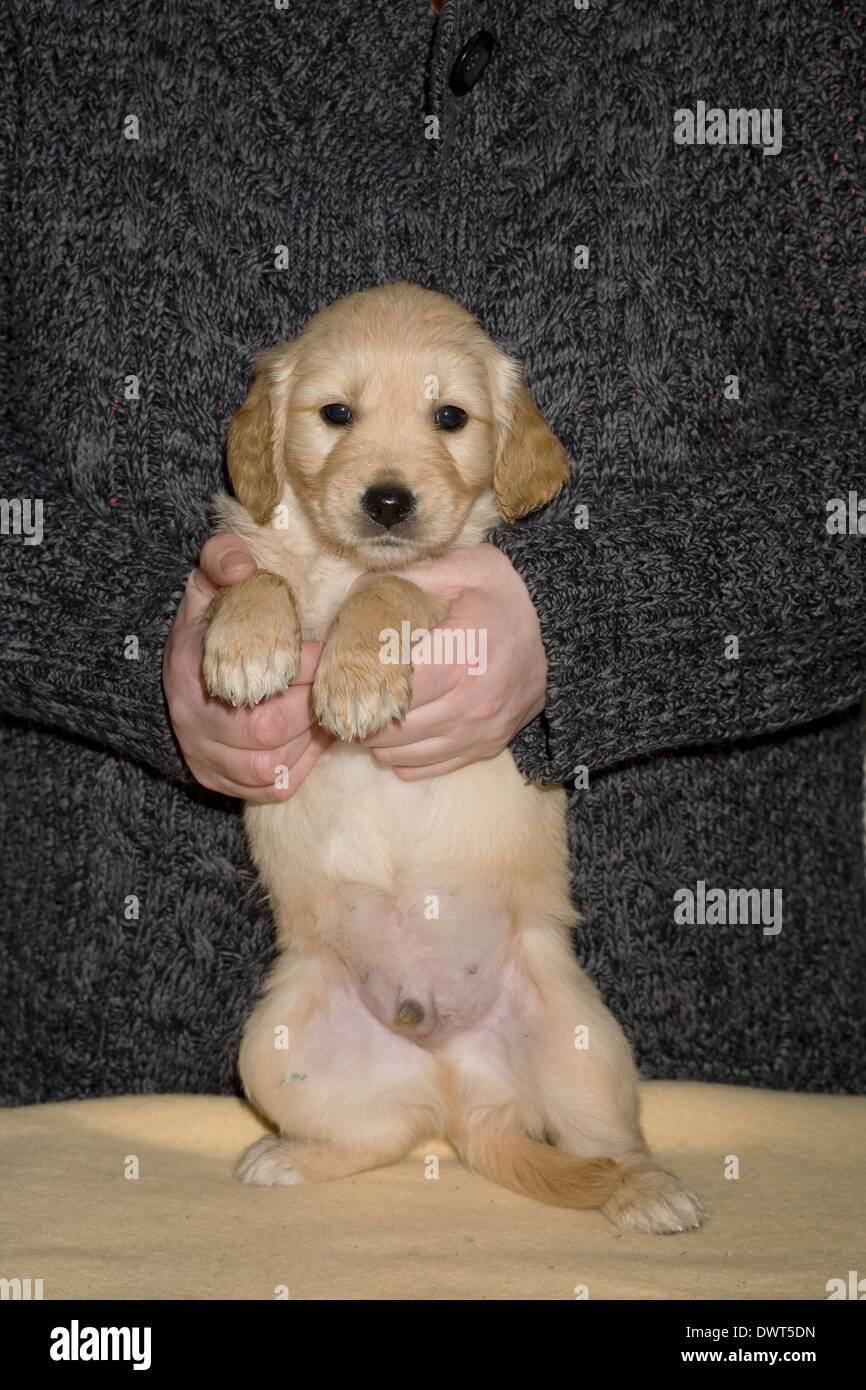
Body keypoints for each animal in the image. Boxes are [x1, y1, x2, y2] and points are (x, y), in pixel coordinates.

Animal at [207, 276, 708, 1234]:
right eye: (335, 413)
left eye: (451, 417)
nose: (388, 502)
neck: (340, 560)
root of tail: (459, 1086)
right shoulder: (254, 553)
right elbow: (258, 574)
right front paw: (245, 642)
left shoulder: (459, 583)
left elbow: (390, 587)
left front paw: (355, 675)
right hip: (271, 1047)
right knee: (386, 1132)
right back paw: (291, 1155)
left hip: (589, 1049)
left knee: (609, 1143)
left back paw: (648, 1191)